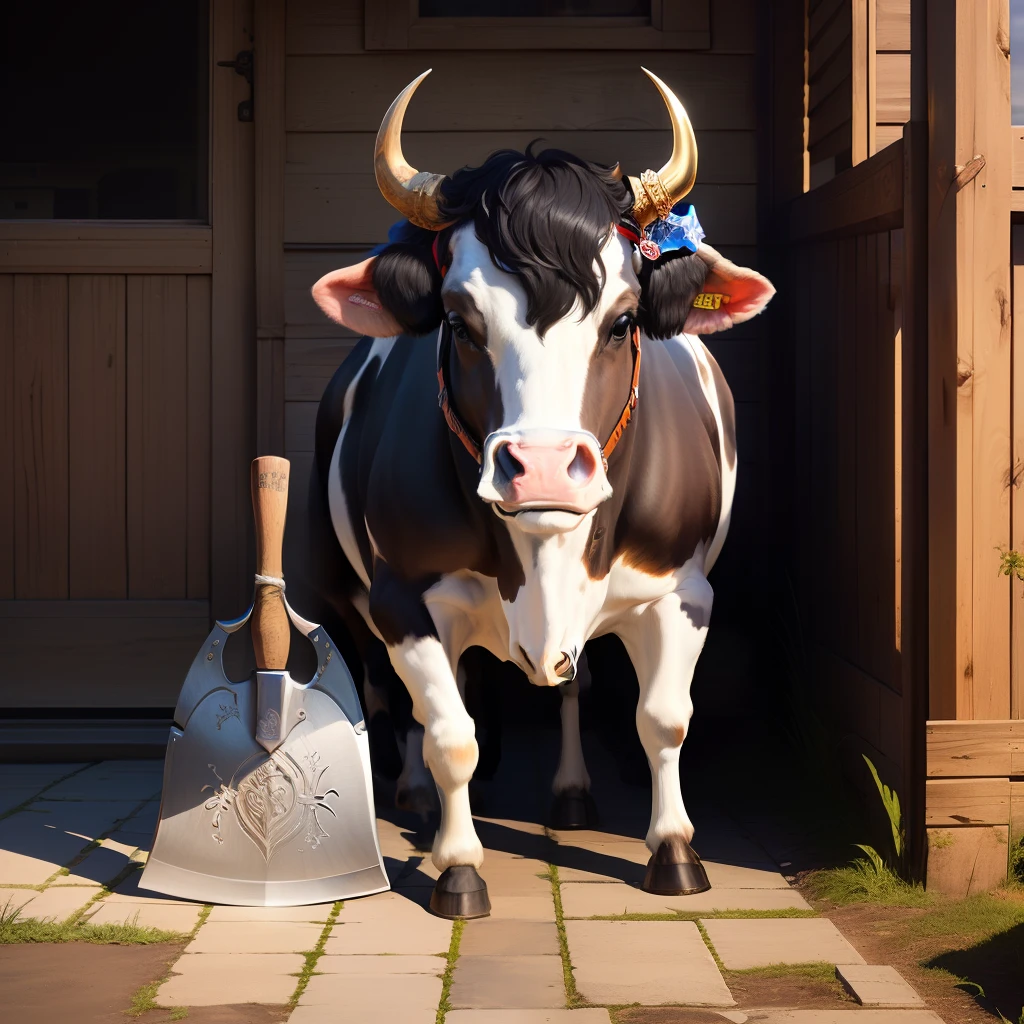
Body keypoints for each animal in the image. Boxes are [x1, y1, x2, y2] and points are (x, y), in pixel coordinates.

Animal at [307, 69, 775, 919]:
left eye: (623, 320)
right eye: (458, 322)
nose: (547, 467)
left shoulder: (685, 590)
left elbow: (662, 719)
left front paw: (675, 850)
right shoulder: (401, 597)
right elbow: (449, 732)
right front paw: (459, 867)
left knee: (573, 684)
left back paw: (571, 794)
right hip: (349, 593)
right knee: (404, 696)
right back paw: (417, 796)